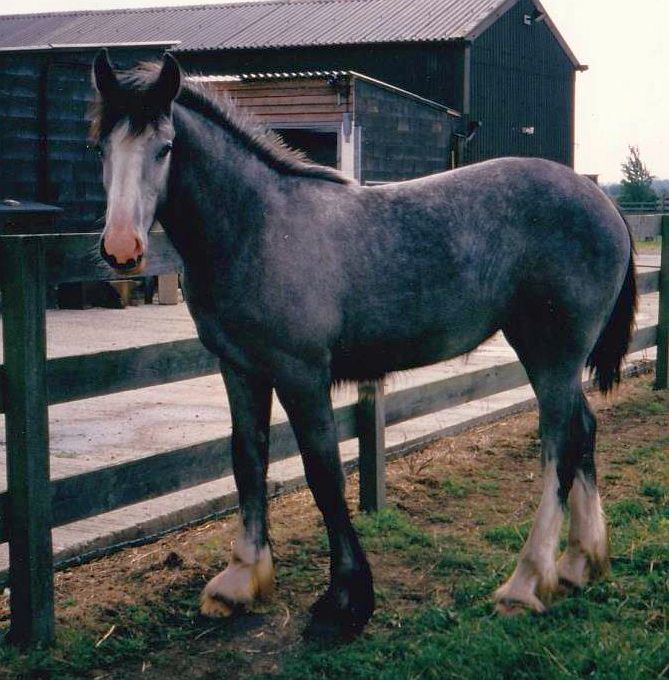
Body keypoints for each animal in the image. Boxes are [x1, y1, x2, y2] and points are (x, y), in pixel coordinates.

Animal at [90, 50, 636, 638]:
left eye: (165, 146)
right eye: (101, 146)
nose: (121, 250)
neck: (258, 225)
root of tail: (601, 200)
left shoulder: (301, 374)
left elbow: (323, 471)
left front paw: (346, 599)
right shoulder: (240, 369)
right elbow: (248, 460)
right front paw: (239, 581)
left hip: (550, 353)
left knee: (559, 446)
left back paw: (527, 582)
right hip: (555, 359)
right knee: (583, 431)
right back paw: (579, 563)